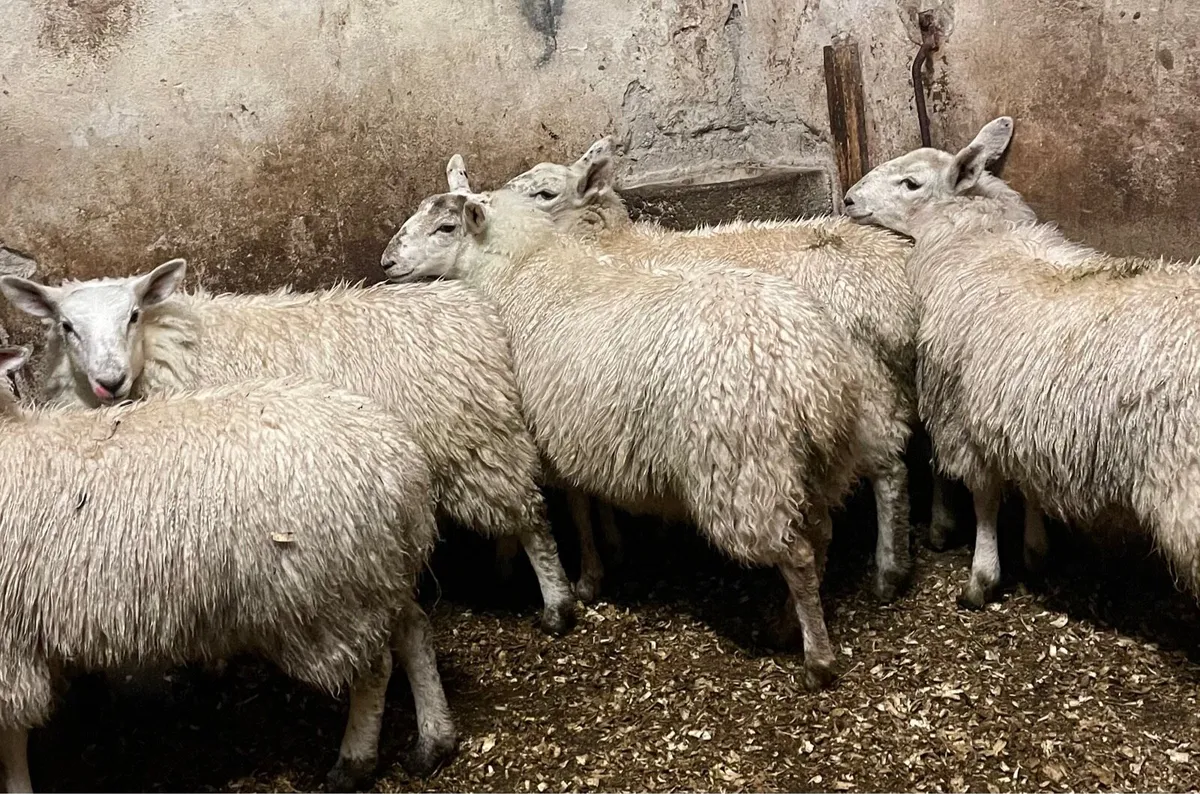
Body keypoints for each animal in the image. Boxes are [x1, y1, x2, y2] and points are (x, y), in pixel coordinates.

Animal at [0, 266, 577, 636]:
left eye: (134, 314)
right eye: (67, 326)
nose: (109, 380)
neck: (169, 350)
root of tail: (471, 308)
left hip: (475, 443)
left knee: (533, 520)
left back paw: (557, 605)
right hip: (482, 447)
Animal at [0, 347, 456, 792]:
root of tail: (404, 464)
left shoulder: (9, 645)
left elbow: (12, 741)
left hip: (330, 594)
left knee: (374, 669)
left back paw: (354, 762)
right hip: (375, 571)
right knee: (414, 630)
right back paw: (434, 741)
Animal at [383, 148, 925, 603]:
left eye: (545, 194)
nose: (387, 261)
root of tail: (893, 278)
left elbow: (577, 497)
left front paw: (591, 571)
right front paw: (620, 542)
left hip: (864, 391)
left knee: (889, 473)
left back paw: (887, 572)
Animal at [842, 115, 1200, 607]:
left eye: (911, 183)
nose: (848, 199)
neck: (979, 239)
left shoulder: (965, 413)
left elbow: (985, 497)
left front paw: (981, 578)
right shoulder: (1023, 416)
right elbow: (1029, 484)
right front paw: (1035, 552)